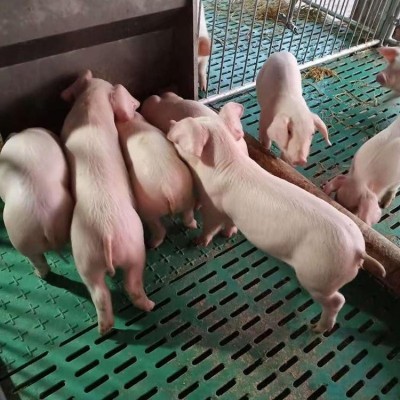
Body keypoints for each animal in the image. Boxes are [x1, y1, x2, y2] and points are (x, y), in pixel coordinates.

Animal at [60, 70, 154, 334]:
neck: (90, 106)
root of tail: (107, 235)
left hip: (89, 258)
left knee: (102, 293)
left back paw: (106, 328)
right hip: (131, 249)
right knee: (128, 286)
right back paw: (148, 307)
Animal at [116, 111, 197, 249]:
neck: (132, 122)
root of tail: (168, 190)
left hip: (148, 209)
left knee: (158, 229)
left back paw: (151, 244)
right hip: (187, 196)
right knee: (188, 217)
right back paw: (195, 225)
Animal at [167, 116, 385, 333]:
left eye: (180, 132)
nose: (171, 122)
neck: (225, 162)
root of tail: (358, 251)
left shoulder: (213, 204)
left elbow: (211, 225)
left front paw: (197, 242)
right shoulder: (229, 211)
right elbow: (229, 223)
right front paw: (228, 234)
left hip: (318, 275)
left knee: (338, 301)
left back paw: (317, 328)